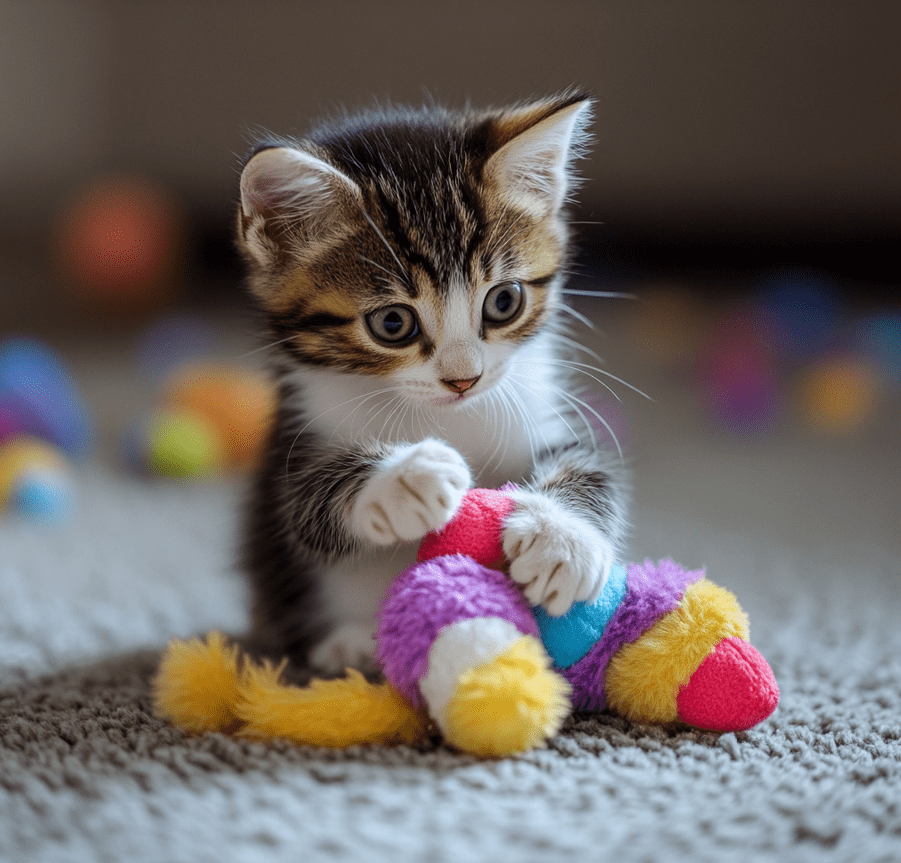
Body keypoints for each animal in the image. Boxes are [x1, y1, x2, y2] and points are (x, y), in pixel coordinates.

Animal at [237, 94, 632, 676]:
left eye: (504, 301)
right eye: (392, 323)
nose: (464, 378)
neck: (449, 414)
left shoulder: (536, 409)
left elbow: (590, 463)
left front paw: (562, 537)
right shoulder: (294, 445)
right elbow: (308, 504)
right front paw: (403, 479)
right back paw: (353, 643)